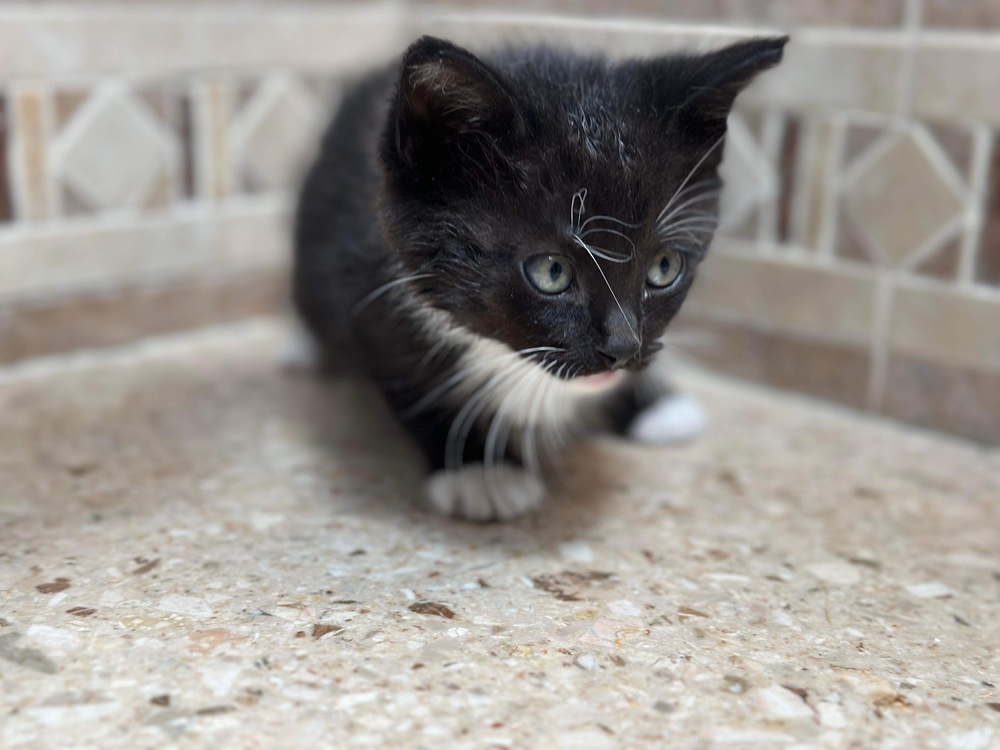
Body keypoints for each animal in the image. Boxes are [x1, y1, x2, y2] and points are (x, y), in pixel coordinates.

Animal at [292, 32, 784, 520]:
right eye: (552, 271)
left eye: (664, 268)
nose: (622, 348)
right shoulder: (366, 285)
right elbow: (409, 376)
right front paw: (478, 468)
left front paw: (654, 403)